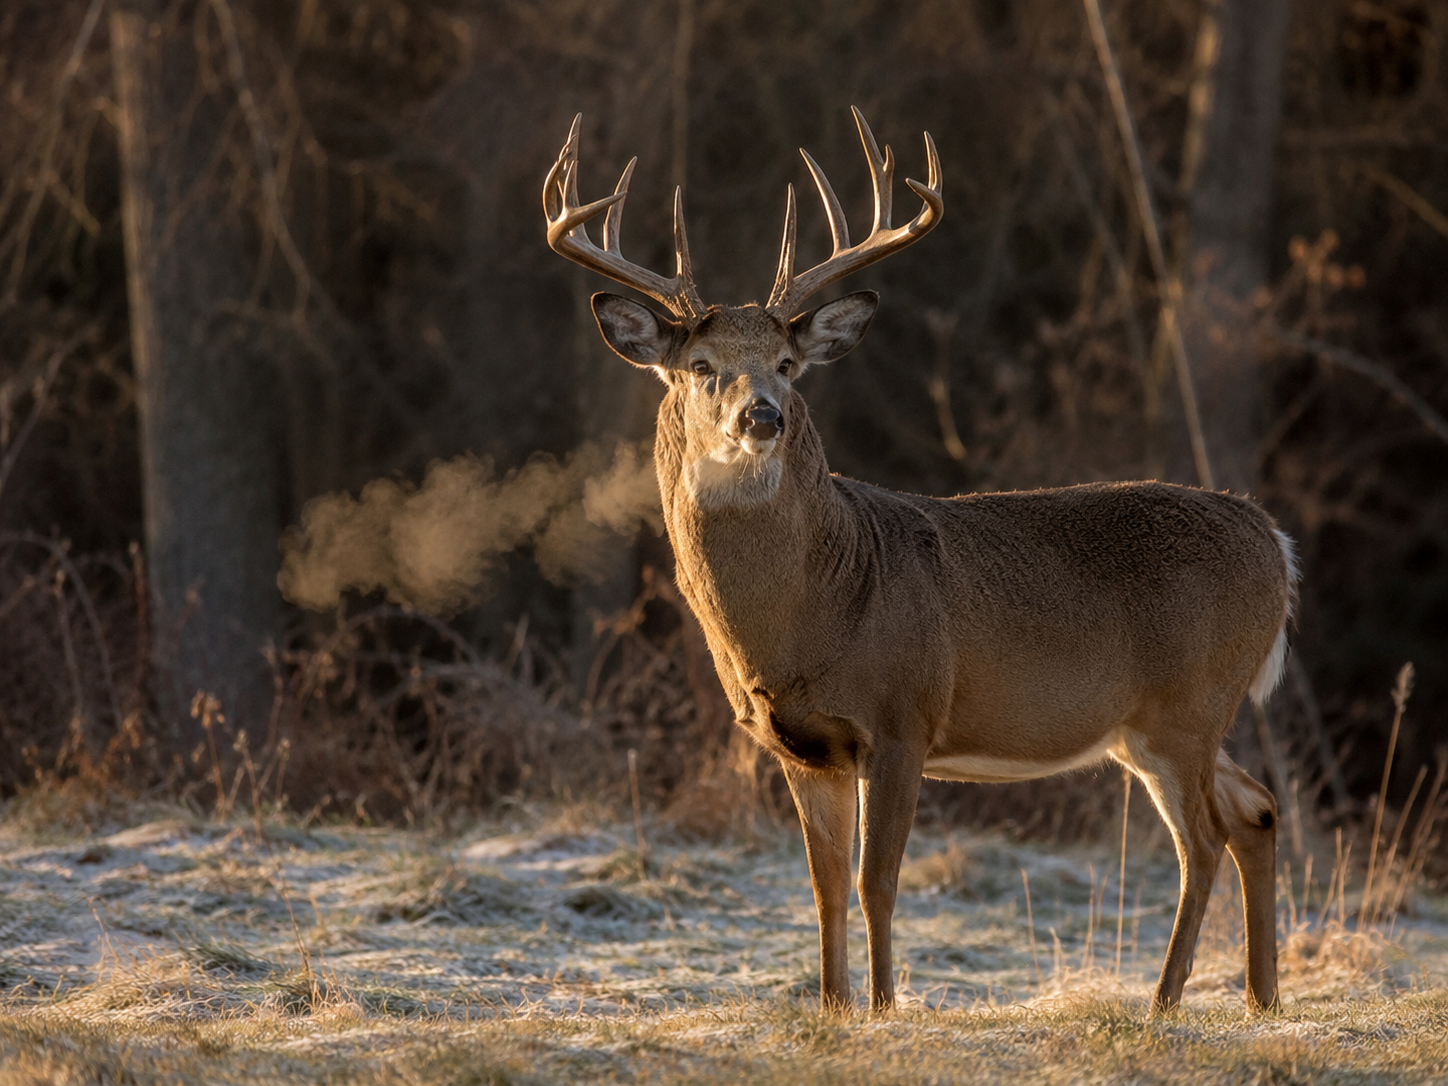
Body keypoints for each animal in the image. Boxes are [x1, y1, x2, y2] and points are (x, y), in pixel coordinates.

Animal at [543, 108, 1295, 1015]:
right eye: (699, 366)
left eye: (788, 365)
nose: (764, 415)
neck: (813, 613)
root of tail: (1276, 542)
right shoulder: (801, 748)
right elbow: (825, 887)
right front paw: (831, 1008)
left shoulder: (903, 719)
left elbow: (878, 884)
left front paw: (880, 1008)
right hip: (1157, 724)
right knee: (1256, 809)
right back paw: (1260, 999)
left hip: (1188, 706)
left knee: (1206, 840)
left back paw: (1163, 1001)